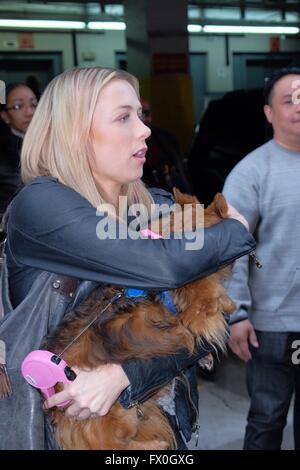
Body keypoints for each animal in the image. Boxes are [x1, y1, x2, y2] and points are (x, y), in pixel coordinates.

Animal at [43, 189, 236, 450]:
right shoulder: (198, 303)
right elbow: (212, 305)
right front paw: (225, 309)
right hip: (121, 413)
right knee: (118, 444)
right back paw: (157, 445)